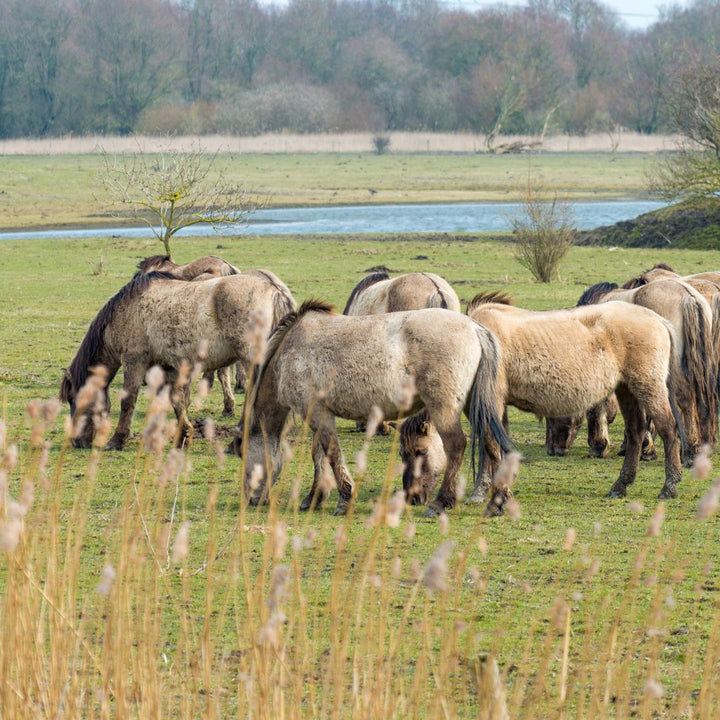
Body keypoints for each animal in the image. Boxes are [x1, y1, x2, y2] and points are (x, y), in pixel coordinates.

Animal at [59, 270, 296, 450]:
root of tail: (273, 288)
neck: (127, 310)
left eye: (73, 399)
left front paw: (117, 440)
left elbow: (128, 401)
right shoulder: (167, 366)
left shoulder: (134, 361)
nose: (77, 442)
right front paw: (183, 436)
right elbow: (177, 400)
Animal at [231, 300, 512, 516]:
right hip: (470, 404)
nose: (251, 498)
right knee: (491, 443)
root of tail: (474, 327)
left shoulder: (318, 413)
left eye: (243, 453)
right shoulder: (317, 414)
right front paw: (314, 498)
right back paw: (497, 502)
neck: (289, 353)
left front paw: (344, 500)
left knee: (456, 445)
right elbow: (319, 455)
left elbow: (331, 454)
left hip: (444, 407)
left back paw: (441, 503)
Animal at [400, 294, 688, 516]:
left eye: (420, 451)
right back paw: (620, 486)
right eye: (403, 453)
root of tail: (657, 319)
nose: (412, 498)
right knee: (636, 432)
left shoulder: (490, 402)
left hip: (648, 386)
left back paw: (670, 486)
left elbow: (489, 445)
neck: (476, 341)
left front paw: (487, 494)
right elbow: (494, 445)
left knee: (668, 429)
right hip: (626, 389)